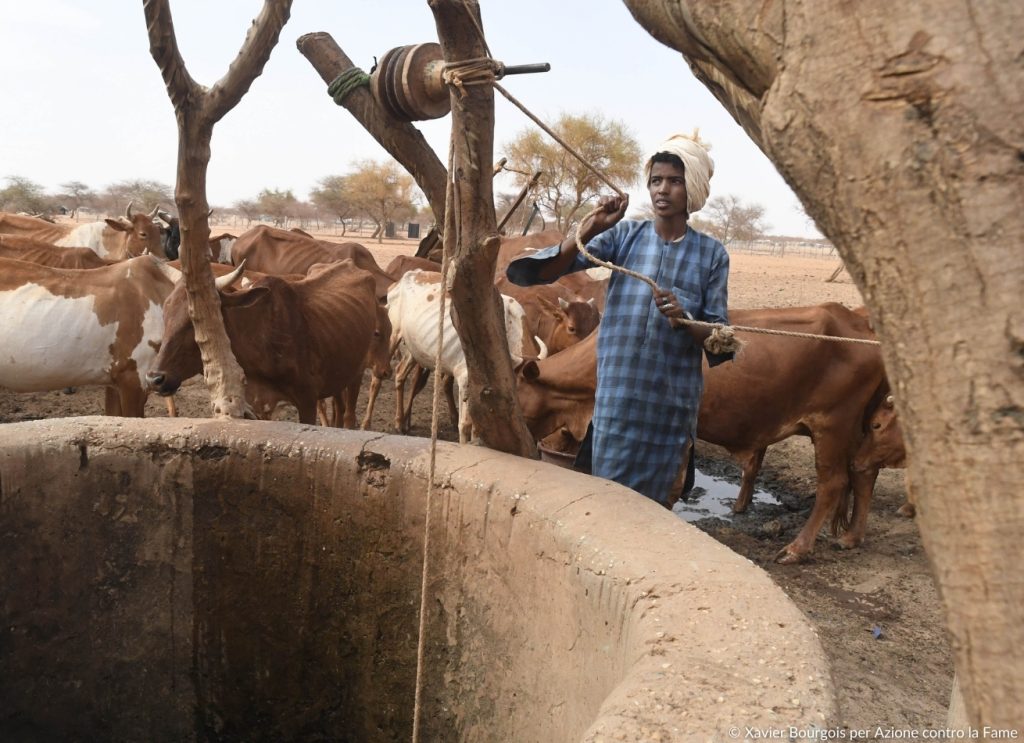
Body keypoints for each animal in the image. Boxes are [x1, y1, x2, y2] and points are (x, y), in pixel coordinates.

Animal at [145, 260, 380, 425]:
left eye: (196, 320)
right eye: (165, 312)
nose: (155, 378)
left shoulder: (307, 401)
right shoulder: (258, 406)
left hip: (357, 372)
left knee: (348, 416)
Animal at [520, 302, 888, 564]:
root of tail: (862, 328)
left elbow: (666, 483)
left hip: (832, 425)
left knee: (833, 483)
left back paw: (797, 549)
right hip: (857, 427)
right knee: (862, 473)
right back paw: (850, 536)